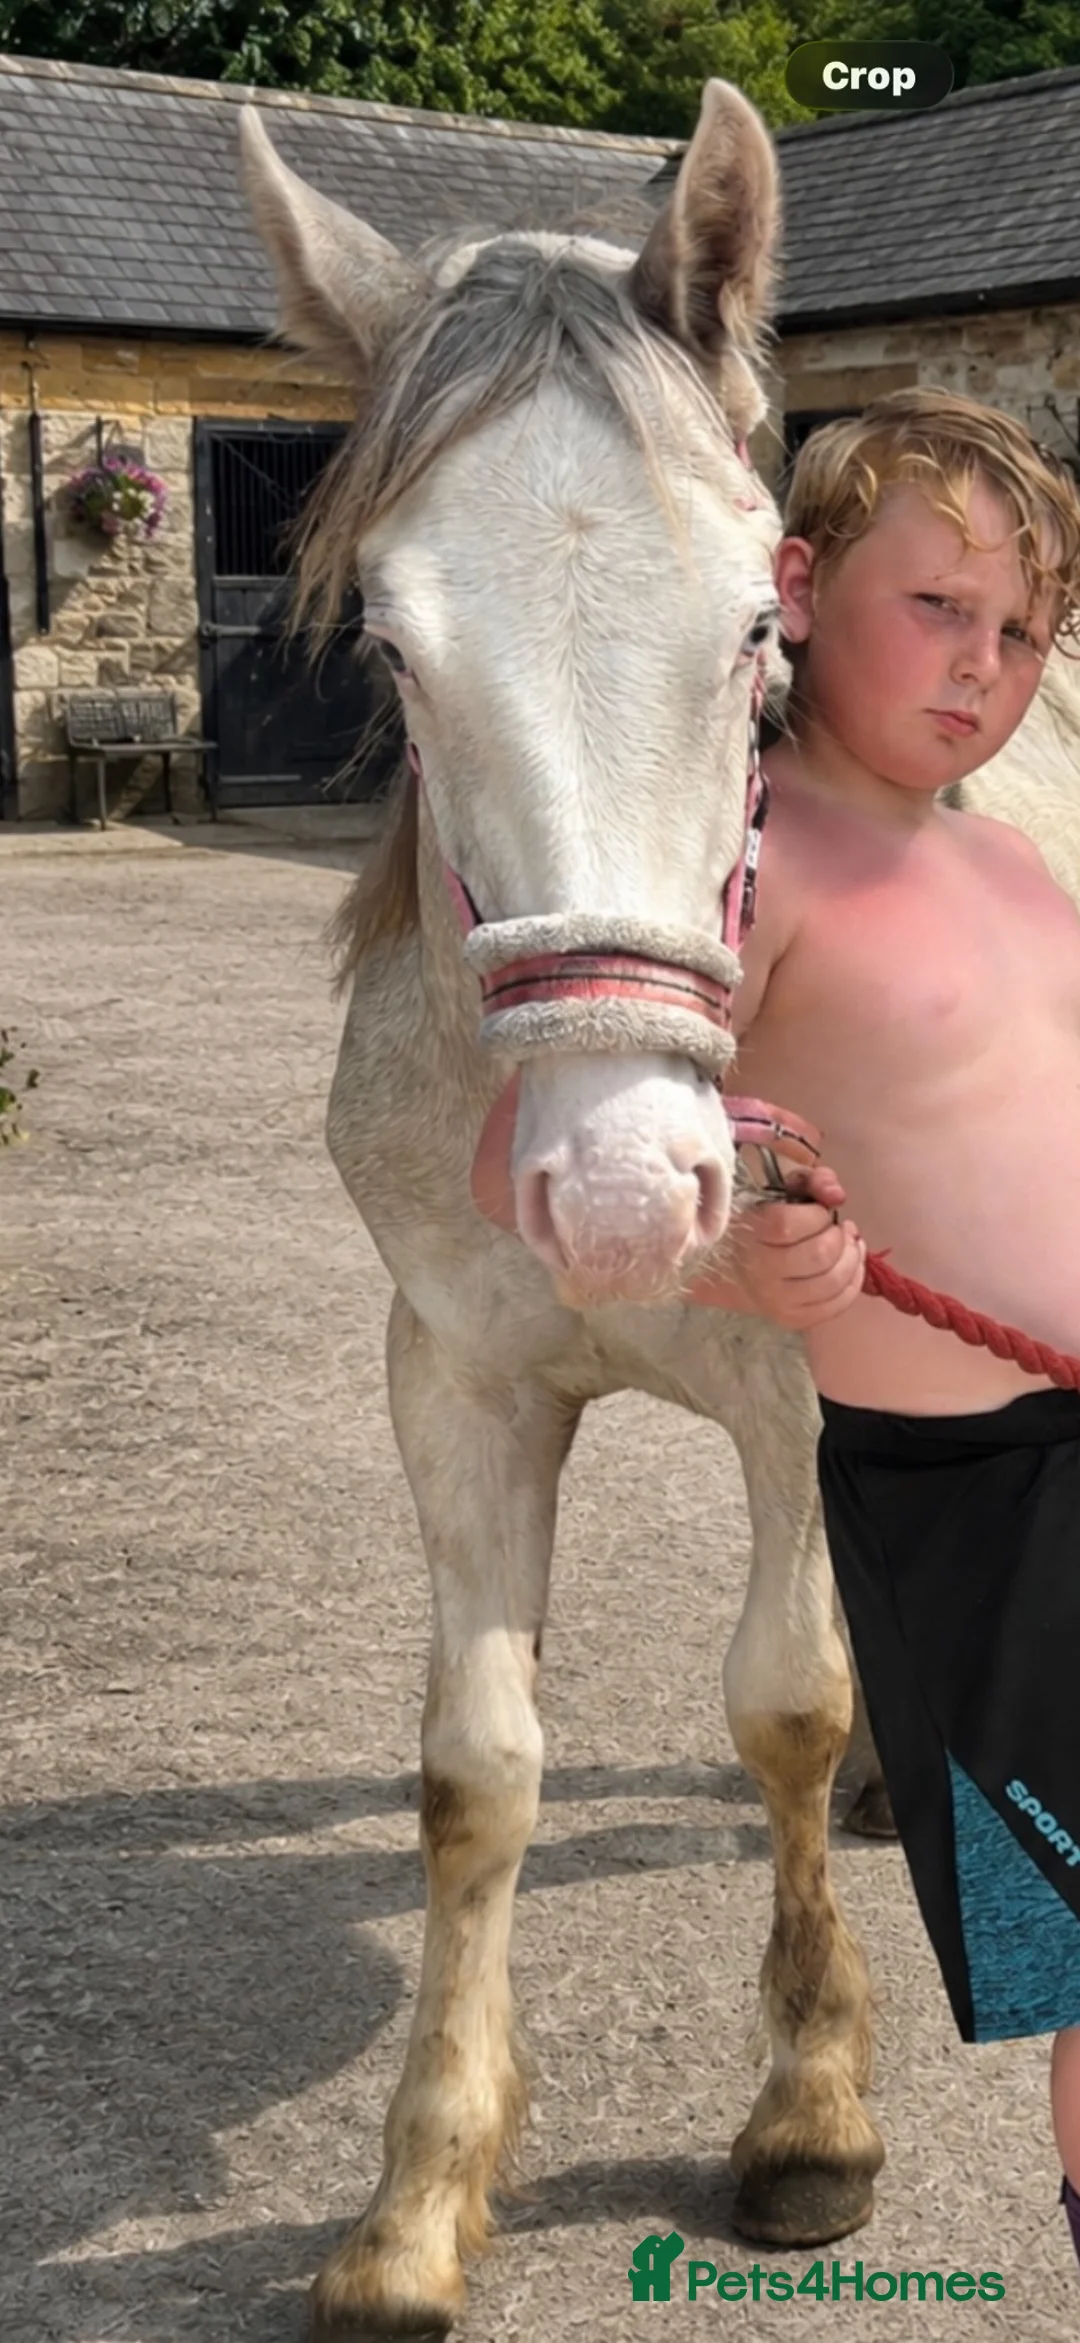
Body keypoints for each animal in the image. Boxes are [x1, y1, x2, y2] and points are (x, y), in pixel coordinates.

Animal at [240, 81, 1080, 2340]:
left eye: (760, 628)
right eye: (391, 648)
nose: (625, 1188)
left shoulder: (806, 1382)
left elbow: (782, 1699)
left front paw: (810, 2120)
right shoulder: (455, 1379)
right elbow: (476, 1766)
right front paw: (416, 2201)